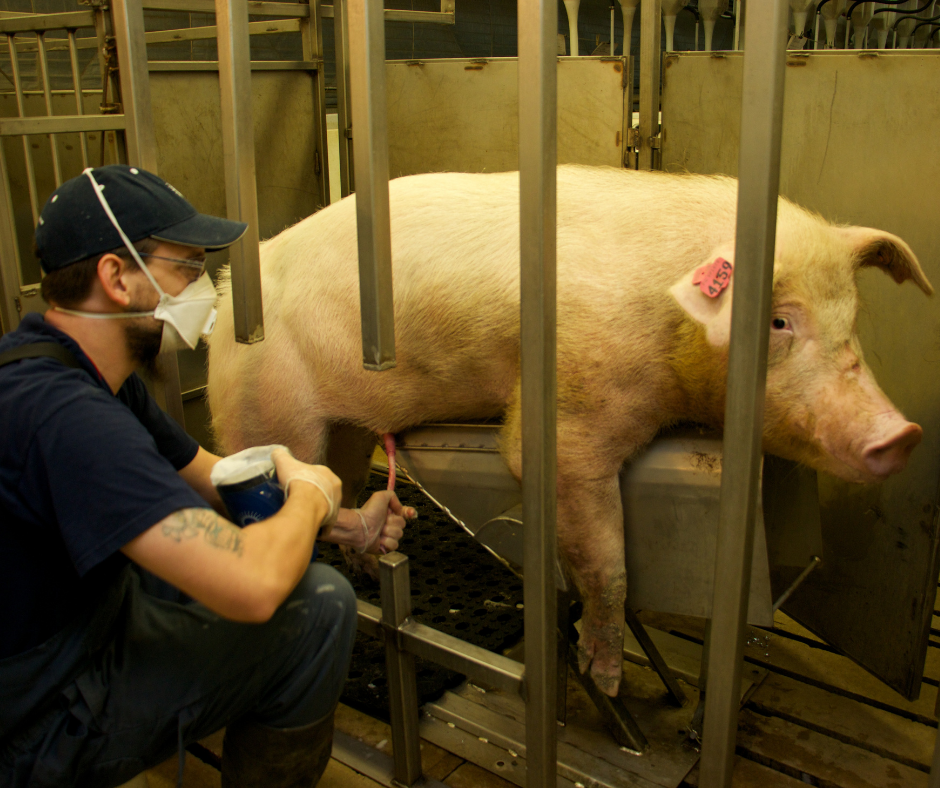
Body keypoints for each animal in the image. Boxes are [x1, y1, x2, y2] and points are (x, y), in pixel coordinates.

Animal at [206, 165, 932, 696]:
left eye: (852, 319)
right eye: (780, 321)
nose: (903, 434)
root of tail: (229, 284)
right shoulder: (573, 419)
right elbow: (605, 561)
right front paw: (605, 682)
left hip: (347, 428)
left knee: (342, 488)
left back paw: (380, 545)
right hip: (263, 410)